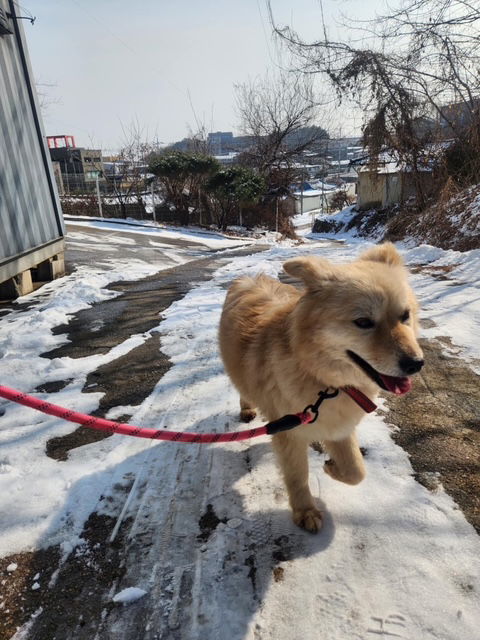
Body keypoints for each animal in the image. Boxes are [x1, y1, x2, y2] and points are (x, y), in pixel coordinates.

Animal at [218, 242, 424, 532]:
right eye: (363, 322)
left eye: (405, 316)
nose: (416, 364)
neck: (325, 383)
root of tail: (248, 278)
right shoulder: (291, 434)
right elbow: (298, 476)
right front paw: (305, 511)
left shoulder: (338, 426)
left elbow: (356, 471)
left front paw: (331, 468)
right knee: (243, 390)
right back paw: (247, 408)